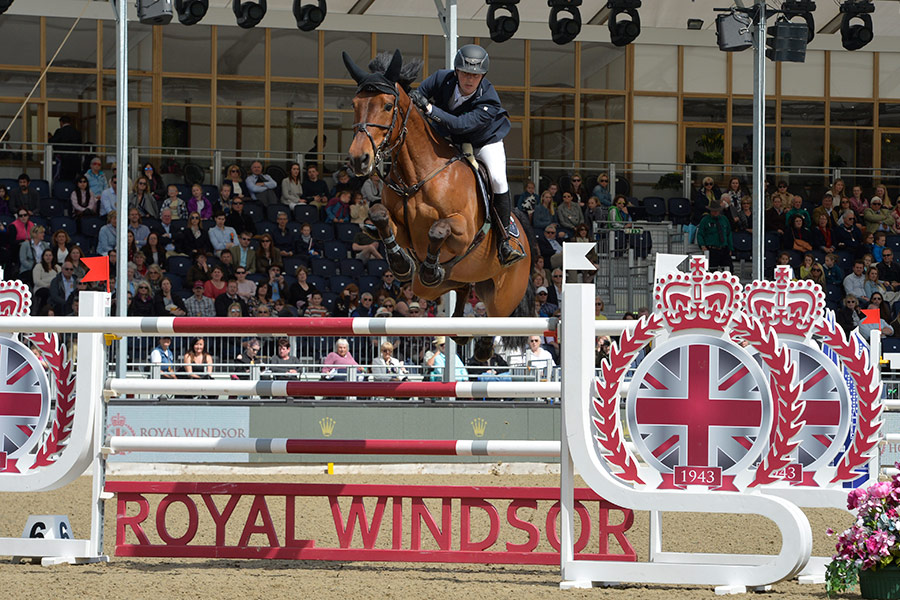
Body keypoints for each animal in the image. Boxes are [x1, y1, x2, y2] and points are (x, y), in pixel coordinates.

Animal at [342, 49, 535, 320]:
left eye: (388, 106)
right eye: (354, 105)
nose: (359, 159)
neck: (416, 177)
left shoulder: (464, 232)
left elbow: (438, 229)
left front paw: (430, 268)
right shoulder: (403, 231)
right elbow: (379, 214)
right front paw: (401, 263)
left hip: (504, 300)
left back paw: (507, 250)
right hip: (434, 287)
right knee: (458, 288)